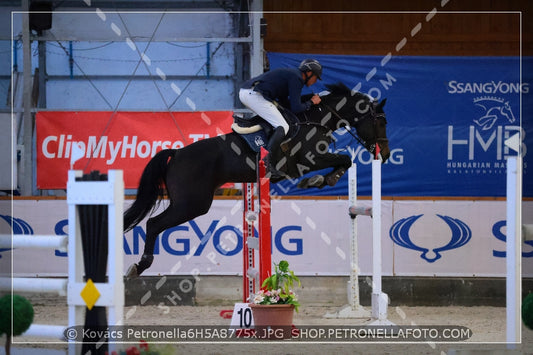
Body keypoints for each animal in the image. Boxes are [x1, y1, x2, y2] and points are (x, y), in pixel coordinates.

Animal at [124, 84, 390, 278]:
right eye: (381, 122)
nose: (385, 155)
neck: (318, 119)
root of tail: (177, 153)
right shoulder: (312, 159)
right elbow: (345, 159)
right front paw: (318, 181)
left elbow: (344, 161)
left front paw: (319, 181)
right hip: (192, 204)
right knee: (154, 224)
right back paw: (140, 266)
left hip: (189, 203)